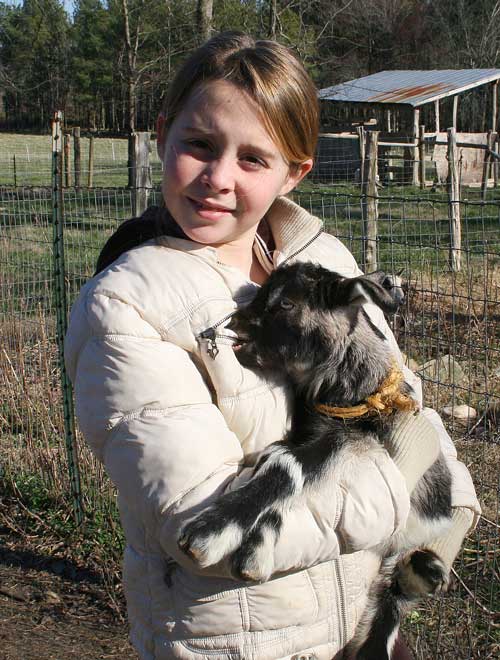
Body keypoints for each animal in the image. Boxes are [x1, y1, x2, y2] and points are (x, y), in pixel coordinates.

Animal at [181, 260, 454, 656]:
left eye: (286, 303)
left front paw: (211, 531)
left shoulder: (356, 440)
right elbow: (280, 459)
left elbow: (291, 464)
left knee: (395, 597)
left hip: (410, 549)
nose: (233, 324)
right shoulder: (306, 433)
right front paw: (256, 549)